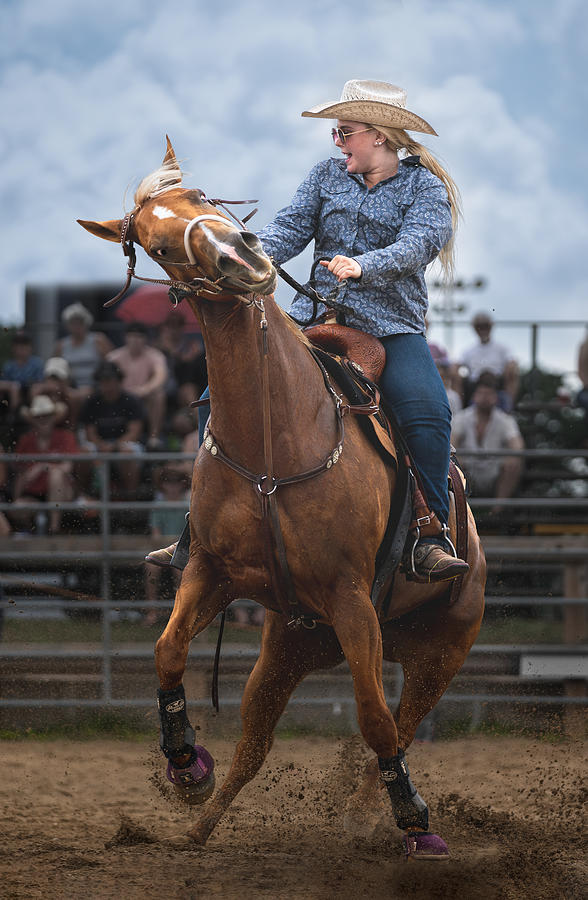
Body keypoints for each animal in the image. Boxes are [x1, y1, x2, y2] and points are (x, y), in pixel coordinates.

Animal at [80, 137, 484, 860]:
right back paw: (200, 824)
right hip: (292, 645)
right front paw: (186, 766)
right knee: (254, 742)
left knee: (400, 724)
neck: (280, 437)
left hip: (438, 653)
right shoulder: (212, 570)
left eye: (203, 196)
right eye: (155, 244)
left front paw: (414, 817)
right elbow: (167, 651)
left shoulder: (353, 600)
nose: (242, 257)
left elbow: (375, 722)